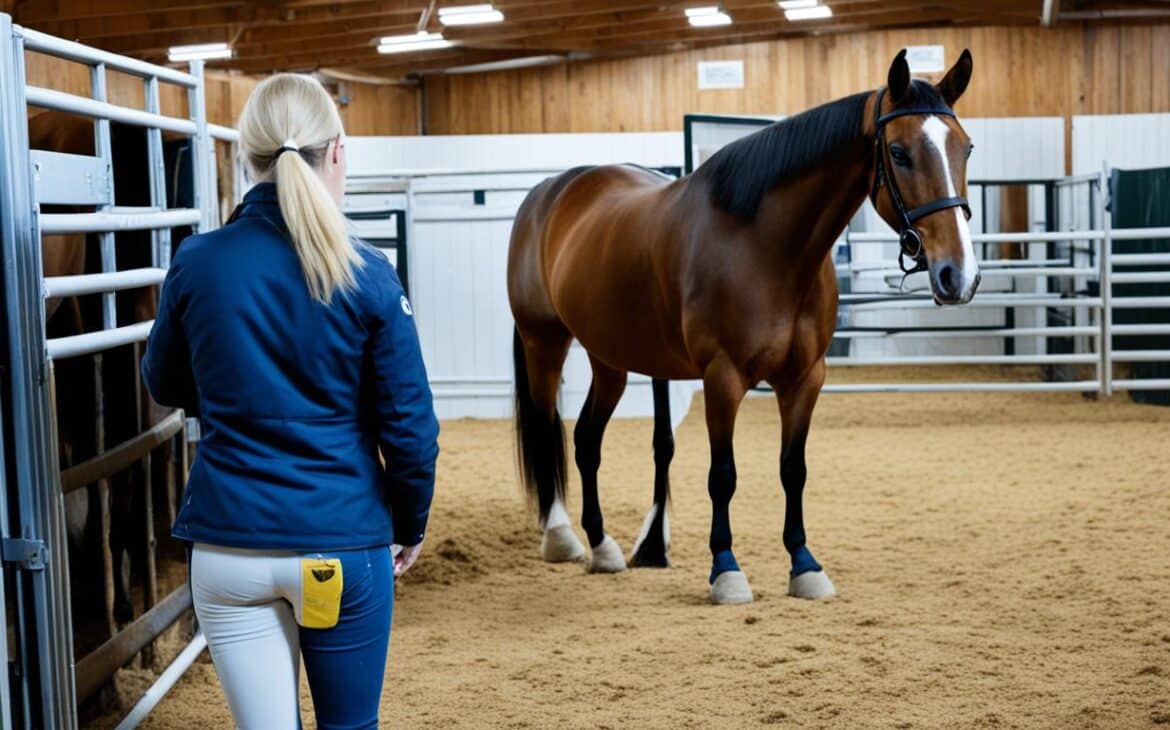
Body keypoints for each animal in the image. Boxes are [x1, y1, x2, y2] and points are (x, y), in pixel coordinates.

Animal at [510, 48, 978, 603]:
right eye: (901, 153)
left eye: (966, 149)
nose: (958, 274)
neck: (765, 246)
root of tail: (550, 191)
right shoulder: (723, 376)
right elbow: (723, 475)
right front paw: (726, 569)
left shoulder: (805, 378)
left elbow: (793, 470)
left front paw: (804, 565)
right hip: (544, 343)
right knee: (548, 430)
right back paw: (562, 536)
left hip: (610, 360)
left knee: (586, 441)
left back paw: (603, 547)